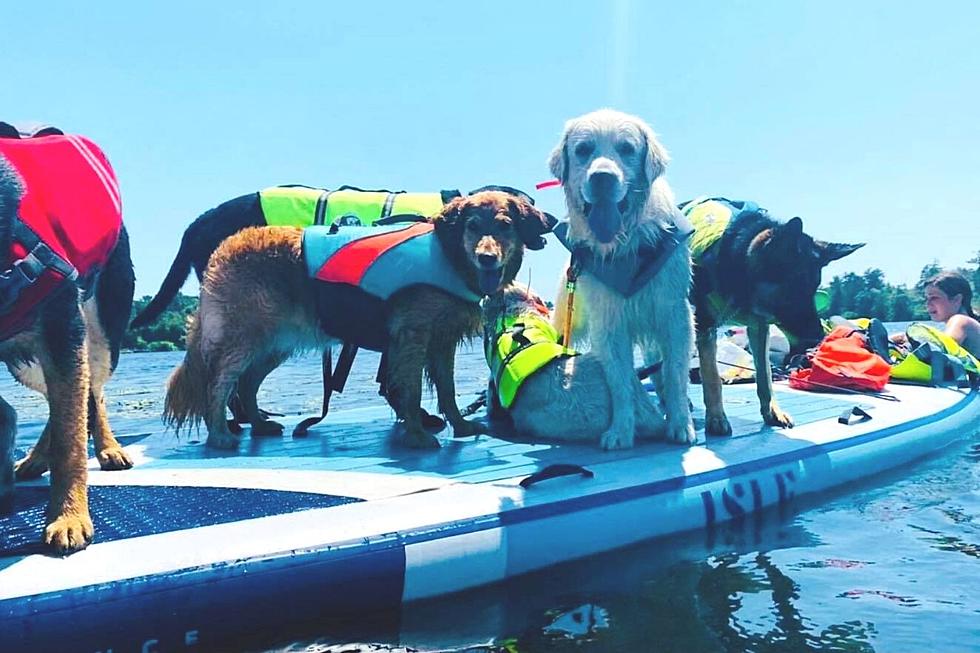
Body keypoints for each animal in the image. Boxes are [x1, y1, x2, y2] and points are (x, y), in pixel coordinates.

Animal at [0, 130, 134, 552]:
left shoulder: (63, 325)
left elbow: (71, 438)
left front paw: (68, 517)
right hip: (24, 360)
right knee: (59, 399)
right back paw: (34, 459)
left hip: (100, 337)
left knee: (92, 392)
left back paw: (109, 449)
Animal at [165, 190, 556, 448]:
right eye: (472, 226)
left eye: (505, 227)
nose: (487, 258)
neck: (449, 257)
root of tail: (224, 247)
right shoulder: (412, 334)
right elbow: (411, 391)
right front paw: (416, 435)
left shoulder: (441, 340)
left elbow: (446, 390)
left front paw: (459, 425)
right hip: (245, 337)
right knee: (219, 384)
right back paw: (220, 435)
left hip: (277, 342)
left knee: (247, 384)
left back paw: (260, 424)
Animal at [552, 111, 696, 448]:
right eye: (583, 150)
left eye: (627, 148)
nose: (602, 178)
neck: (628, 244)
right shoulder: (609, 323)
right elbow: (620, 382)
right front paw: (621, 430)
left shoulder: (675, 314)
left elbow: (675, 374)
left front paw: (680, 424)